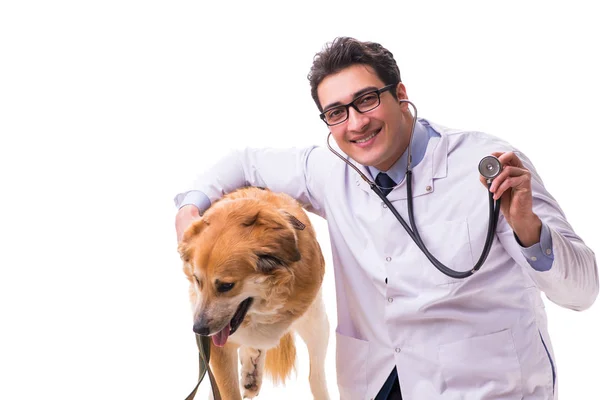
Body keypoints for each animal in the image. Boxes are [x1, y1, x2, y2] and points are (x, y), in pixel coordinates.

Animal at [178, 188, 330, 400]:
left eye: (226, 286)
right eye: (197, 280)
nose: (198, 330)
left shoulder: (314, 322)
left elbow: (316, 377)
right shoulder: (220, 350)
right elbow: (227, 390)